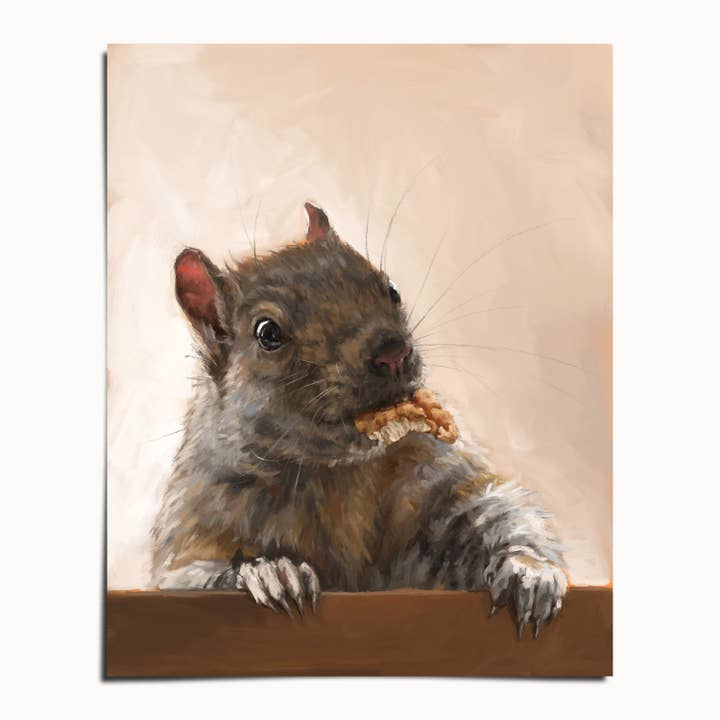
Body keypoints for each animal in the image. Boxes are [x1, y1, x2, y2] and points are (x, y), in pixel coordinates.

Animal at [151, 202, 567, 638]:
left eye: (392, 289)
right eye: (267, 333)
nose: (393, 352)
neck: (335, 472)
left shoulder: (435, 475)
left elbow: (493, 510)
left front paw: (529, 571)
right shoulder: (196, 524)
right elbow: (188, 575)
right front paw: (269, 571)